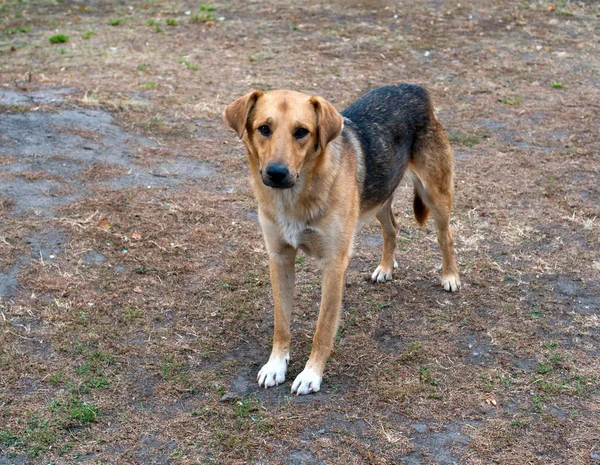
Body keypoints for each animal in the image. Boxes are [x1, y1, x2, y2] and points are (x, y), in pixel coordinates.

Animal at [223, 84, 462, 396]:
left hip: (435, 195)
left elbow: (323, 328)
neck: (297, 195)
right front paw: (276, 365)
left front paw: (311, 374)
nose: (276, 173)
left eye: (301, 132)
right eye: (264, 128)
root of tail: (415, 88)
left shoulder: (334, 265)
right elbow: (281, 321)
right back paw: (386, 268)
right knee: (392, 228)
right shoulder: (280, 258)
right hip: (379, 195)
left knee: (446, 237)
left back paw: (450, 276)